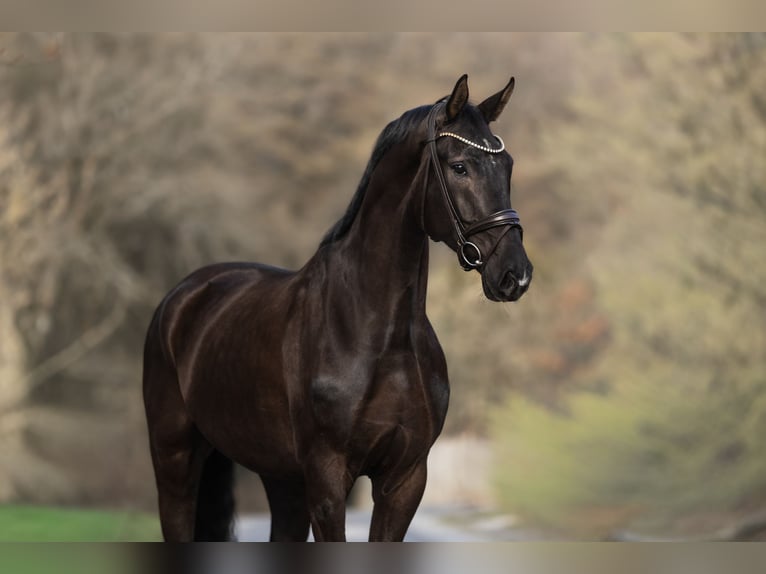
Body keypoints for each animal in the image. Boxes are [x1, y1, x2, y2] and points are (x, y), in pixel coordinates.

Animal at [143, 74, 533, 542]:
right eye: (459, 166)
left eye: (507, 165)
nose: (515, 274)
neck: (377, 334)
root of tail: (184, 295)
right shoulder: (328, 481)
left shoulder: (405, 480)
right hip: (176, 462)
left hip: (282, 480)